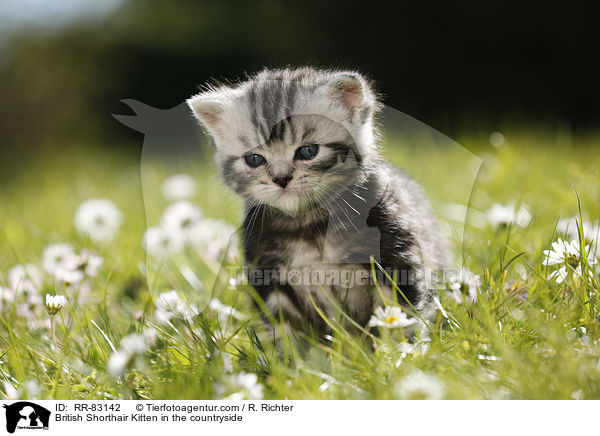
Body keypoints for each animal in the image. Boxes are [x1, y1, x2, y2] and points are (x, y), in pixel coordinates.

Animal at [188, 66, 450, 338]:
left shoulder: (395, 256)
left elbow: (399, 316)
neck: (306, 224)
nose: (281, 179)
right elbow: (285, 334)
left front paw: (398, 349)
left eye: (308, 151)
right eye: (254, 159)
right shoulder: (270, 279)